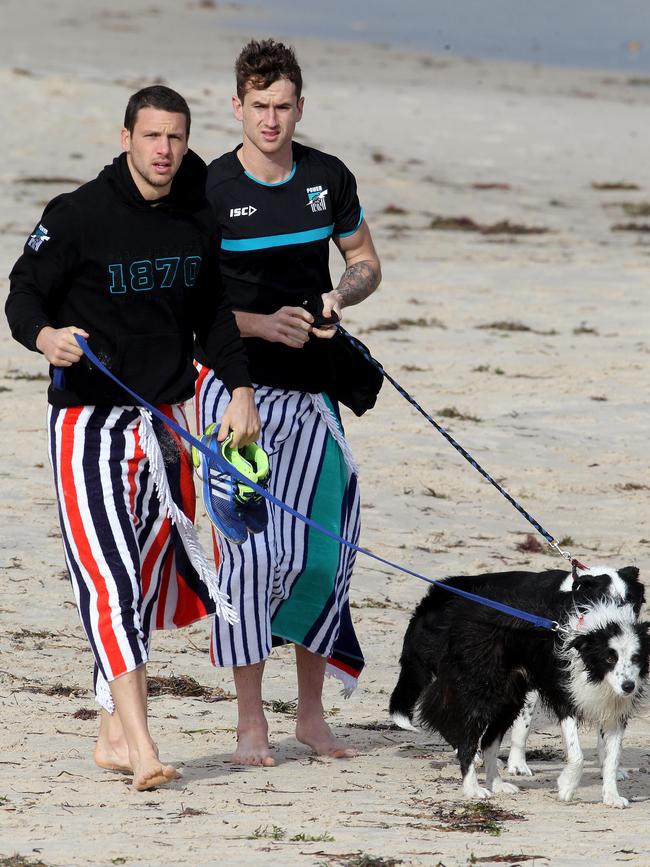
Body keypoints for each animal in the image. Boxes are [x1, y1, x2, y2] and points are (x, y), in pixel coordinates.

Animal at [388, 568, 644, 812]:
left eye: (633, 602)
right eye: (610, 657)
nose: (628, 686)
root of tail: (433, 597)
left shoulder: (610, 702)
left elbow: (610, 753)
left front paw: (611, 793)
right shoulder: (564, 697)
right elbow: (571, 750)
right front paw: (563, 785)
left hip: (508, 697)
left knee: (487, 739)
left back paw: (496, 783)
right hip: (482, 693)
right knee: (464, 736)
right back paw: (473, 787)